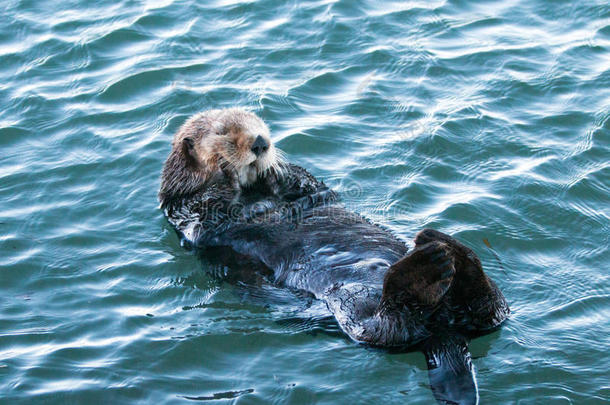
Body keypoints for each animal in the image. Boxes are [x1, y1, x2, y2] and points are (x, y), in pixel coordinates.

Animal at [158, 107, 508, 404]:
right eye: (223, 132)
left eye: (260, 125)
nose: (261, 143)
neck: (254, 194)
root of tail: (444, 331)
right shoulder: (185, 210)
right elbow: (209, 205)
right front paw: (227, 170)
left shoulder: (309, 189)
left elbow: (307, 183)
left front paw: (275, 170)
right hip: (353, 307)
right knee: (389, 330)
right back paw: (431, 264)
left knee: (490, 313)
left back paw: (452, 253)